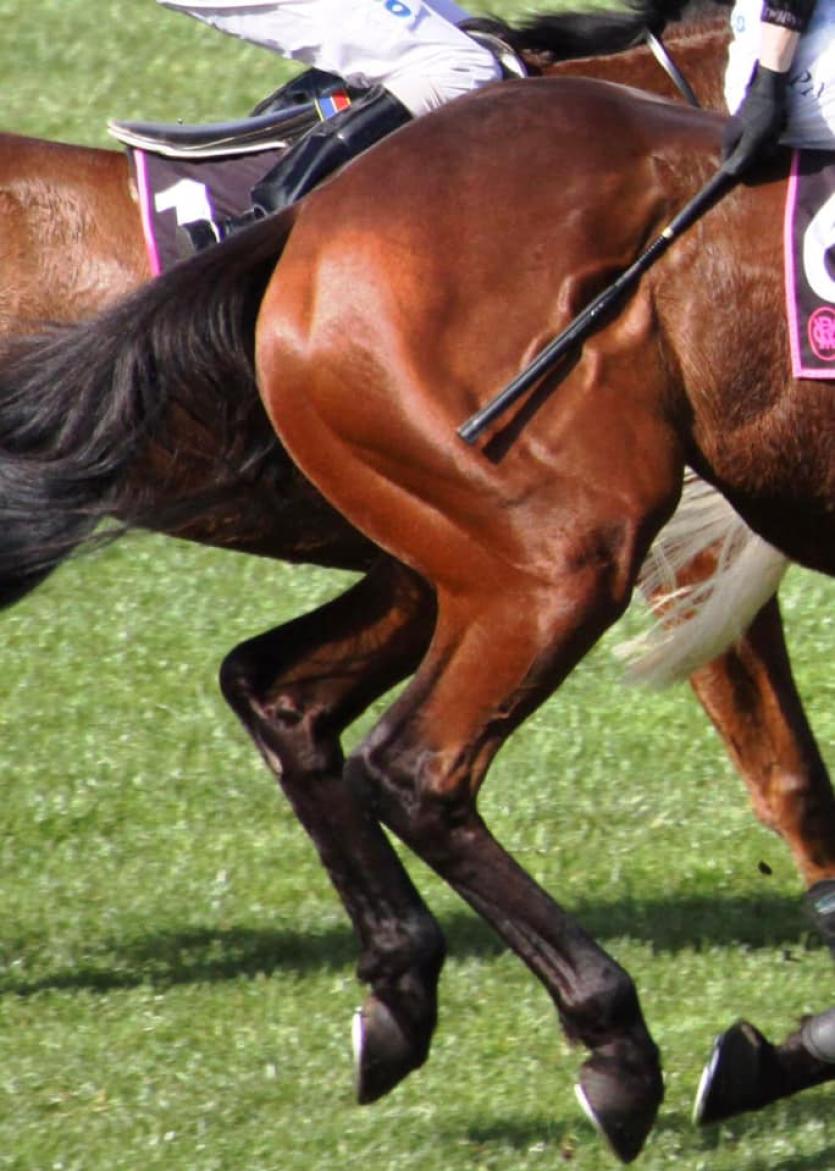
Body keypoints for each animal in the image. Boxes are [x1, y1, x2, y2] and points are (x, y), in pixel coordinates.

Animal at [1, 73, 833, 1162]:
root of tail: (316, 221)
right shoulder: (680, 556)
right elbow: (790, 768)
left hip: (466, 553)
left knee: (286, 697)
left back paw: (402, 994)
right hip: (559, 551)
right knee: (414, 766)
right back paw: (613, 1047)